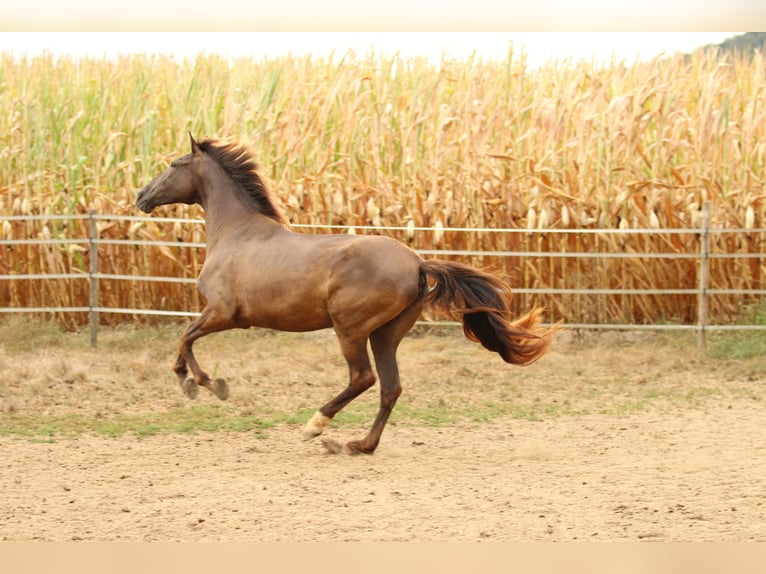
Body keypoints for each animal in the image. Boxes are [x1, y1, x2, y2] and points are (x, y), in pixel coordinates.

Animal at [136, 135, 560, 454]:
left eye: (173, 164)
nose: (141, 195)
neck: (236, 233)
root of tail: (417, 263)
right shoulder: (218, 314)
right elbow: (183, 342)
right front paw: (188, 383)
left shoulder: (224, 313)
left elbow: (185, 338)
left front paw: (209, 384)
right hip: (386, 334)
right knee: (390, 386)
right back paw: (360, 445)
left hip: (350, 328)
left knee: (363, 378)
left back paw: (315, 426)